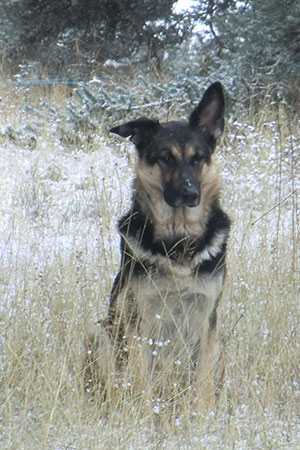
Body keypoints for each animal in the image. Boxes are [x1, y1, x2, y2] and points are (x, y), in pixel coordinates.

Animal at [85, 81, 231, 412]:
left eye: (197, 158)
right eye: (165, 157)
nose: (191, 194)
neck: (179, 242)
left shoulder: (207, 319)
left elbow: (203, 381)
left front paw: (205, 416)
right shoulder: (139, 320)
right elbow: (139, 378)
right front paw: (141, 414)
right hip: (100, 332)